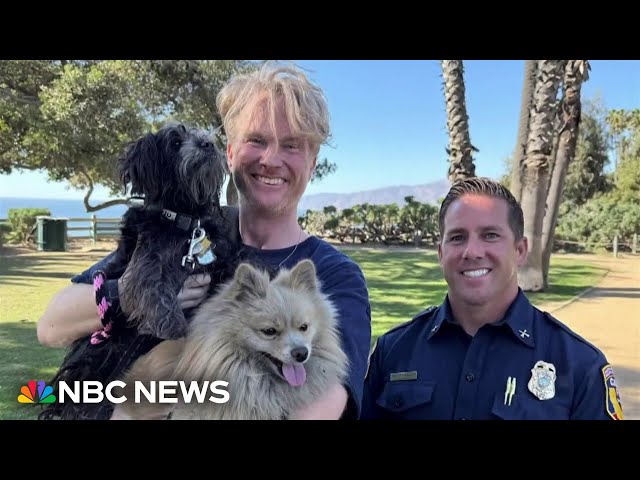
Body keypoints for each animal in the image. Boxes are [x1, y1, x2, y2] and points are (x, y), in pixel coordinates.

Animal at [38, 124, 245, 420]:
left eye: (199, 135)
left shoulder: (219, 258)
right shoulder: (144, 262)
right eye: (176, 142)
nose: (208, 143)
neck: (184, 217)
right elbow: (152, 287)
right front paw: (172, 325)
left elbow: (234, 269)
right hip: (91, 357)